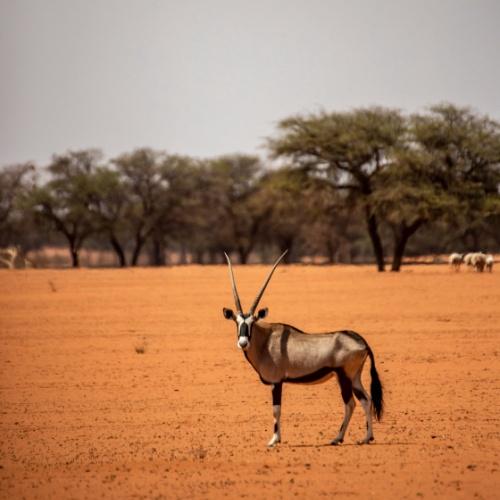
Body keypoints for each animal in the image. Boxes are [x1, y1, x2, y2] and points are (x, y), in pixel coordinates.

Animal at [222, 252, 382, 448]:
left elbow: (276, 410)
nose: (243, 342)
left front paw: (274, 440)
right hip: (355, 377)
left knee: (350, 403)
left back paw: (337, 438)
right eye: (236, 322)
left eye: (252, 322)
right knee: (366, 400)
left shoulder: (276, 382)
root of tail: (362, 342)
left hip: (344, 376)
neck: (265, 340)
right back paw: (367, 437)